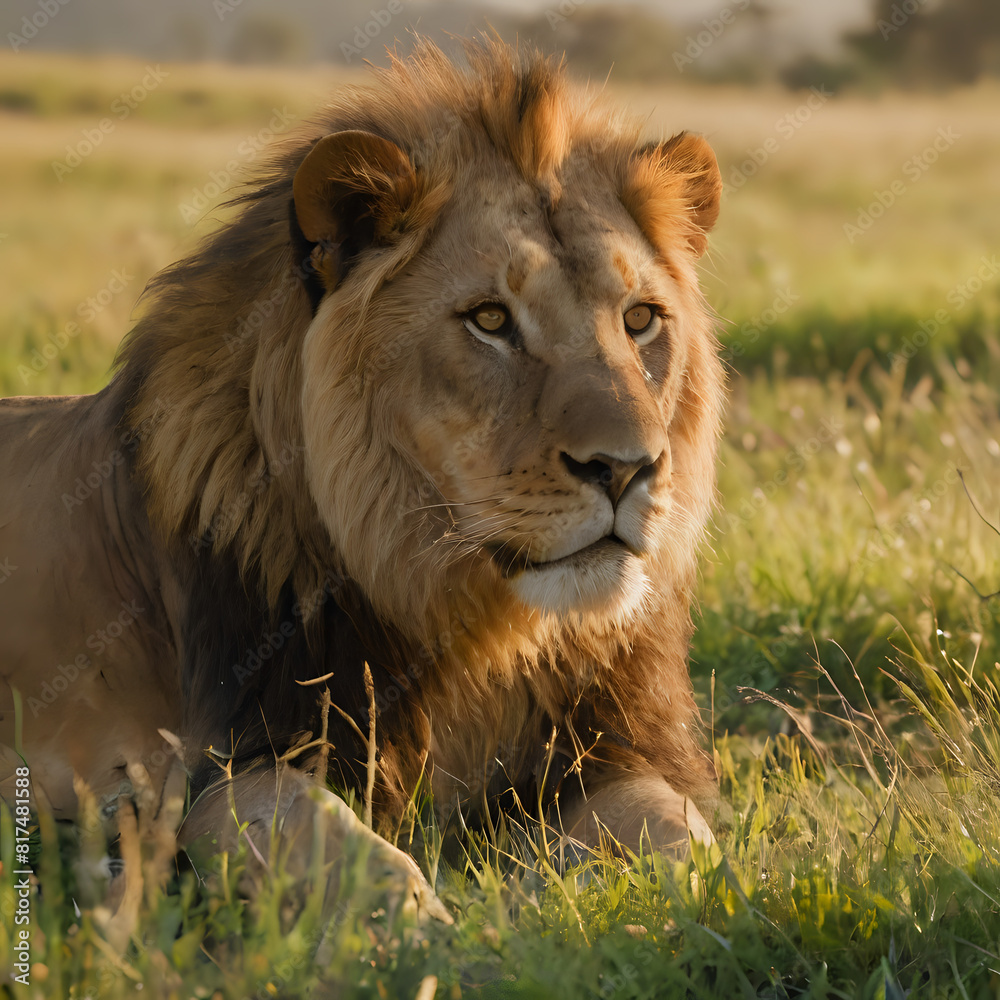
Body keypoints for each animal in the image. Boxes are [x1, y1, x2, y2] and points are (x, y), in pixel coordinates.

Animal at [0, 38, 724, 910]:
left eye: (640, 319)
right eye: (489, 320)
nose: (628, 468)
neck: (471, 620)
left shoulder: (619, 749)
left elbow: (685, 839)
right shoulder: (221, 767)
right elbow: (335, 843)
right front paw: (433, 925)